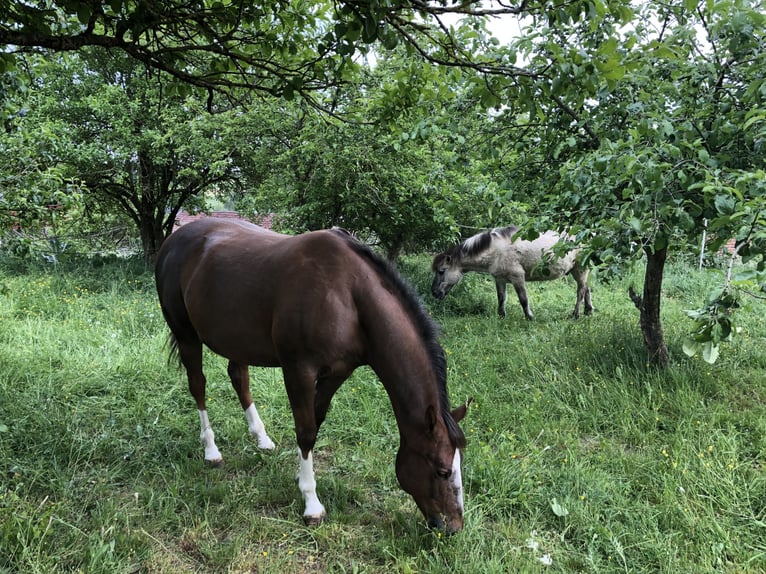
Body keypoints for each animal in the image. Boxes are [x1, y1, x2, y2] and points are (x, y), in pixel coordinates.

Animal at [155, 218, 469, 532]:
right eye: (442, 471)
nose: (453, 526)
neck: (347, 295)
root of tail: (173, 241)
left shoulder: (337, 373)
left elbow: (315, 423)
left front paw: (300, 475)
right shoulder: (299, 371)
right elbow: (305, 432)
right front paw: (311, 503)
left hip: (237, 339)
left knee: (239, 378)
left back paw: (262, 438)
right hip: (186, 334)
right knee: (198, 385)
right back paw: (211, 450)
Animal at [431, 226, 593, 320]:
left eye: (441, 271)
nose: (434, 293)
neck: (496, 250)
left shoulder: (517, 277)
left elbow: (523, 299)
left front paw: (529, 317)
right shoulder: (499, 279)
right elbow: (501, 298)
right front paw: (501, 316)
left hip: (580, 269)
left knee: (580, 291)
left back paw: (576, 314)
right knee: (587, 289)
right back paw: (588, 311)